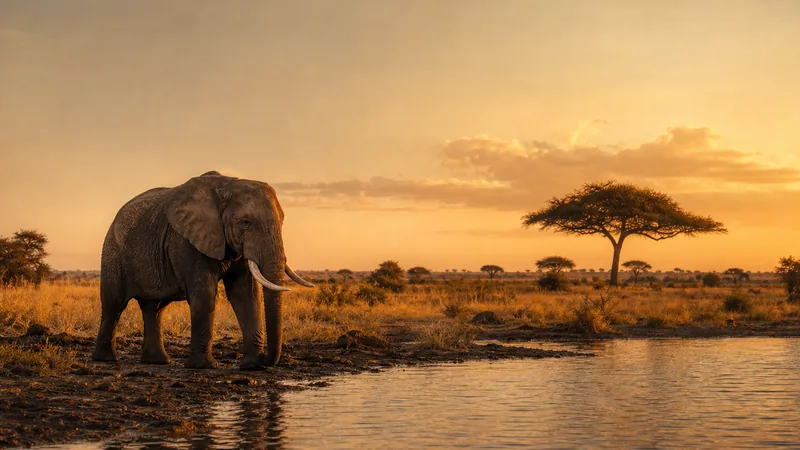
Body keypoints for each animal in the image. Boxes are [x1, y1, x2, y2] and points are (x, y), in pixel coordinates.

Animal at [90, 171, 314, 370]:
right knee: (114, 304)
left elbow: (245, 294)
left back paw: (157, 362)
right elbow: (205, 293)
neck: (229, 185)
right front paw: (204, 366)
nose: (264, 360)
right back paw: (106, 359)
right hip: (112, 253)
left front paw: (251, 366)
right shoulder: (185, 241)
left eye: (282, 221)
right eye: (245, 222)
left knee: (154, 308)